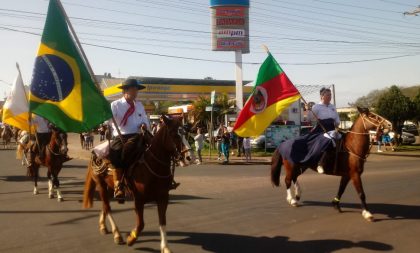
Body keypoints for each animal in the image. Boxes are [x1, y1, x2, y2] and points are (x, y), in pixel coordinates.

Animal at [82, 115, 187, 252]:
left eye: (186, 132)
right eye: (174, 134)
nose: (188, 155)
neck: (152, 165)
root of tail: (95, 151)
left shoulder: (163, 198)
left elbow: (162, 222)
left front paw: (165, 247)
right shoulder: (138, 199)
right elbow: (141, 224)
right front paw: (131, 239)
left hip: (109, 188)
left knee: (105, 206)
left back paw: (103, 227)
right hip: (101, 185)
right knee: (108, 208)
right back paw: (117, 234)